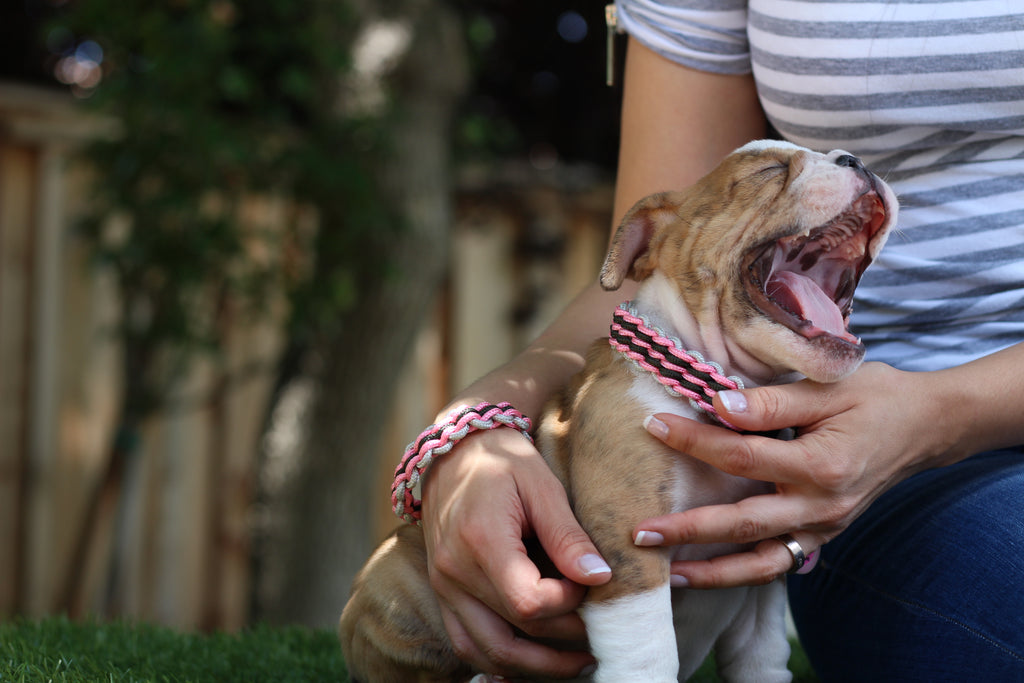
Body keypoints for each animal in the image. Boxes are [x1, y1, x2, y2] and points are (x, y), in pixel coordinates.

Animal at [337, 140, 897, 683]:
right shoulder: (629, 549)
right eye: (769, 171)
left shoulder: (763, 578)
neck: (708, 382)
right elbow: (647, 657)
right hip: (397, 584)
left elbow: (763, 659)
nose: (858, 161)